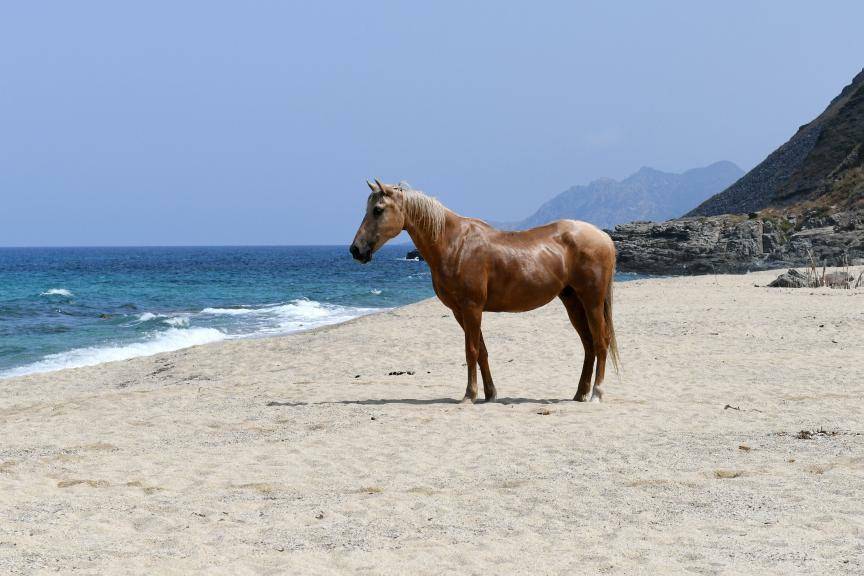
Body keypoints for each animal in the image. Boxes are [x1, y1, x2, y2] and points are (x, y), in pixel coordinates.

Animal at [350, 179, 619, 403]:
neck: (454, 243)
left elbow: (471, 351)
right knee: (588, 345)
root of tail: (603, 237)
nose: (355, 250)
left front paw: (470, 395)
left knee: (600, 341)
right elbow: (482, 352)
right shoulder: (460, 312)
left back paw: (596, 393)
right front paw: (490, 394)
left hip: (592, 302)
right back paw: (580, 393)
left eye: (378, 210)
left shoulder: (472, 308)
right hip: (572, 302)